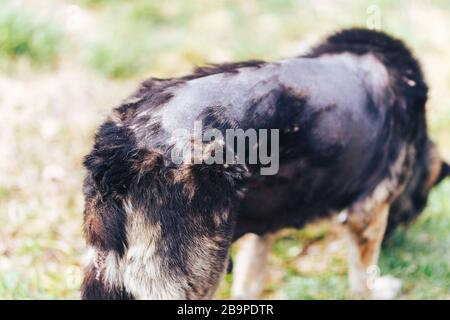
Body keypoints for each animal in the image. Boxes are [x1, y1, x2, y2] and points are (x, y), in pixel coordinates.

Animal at [79, 28, 448, 300]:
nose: (396, 243)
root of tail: (122, 141)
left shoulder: (262, 229)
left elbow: (249, 281)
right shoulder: (368, 216)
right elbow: (363, 283)